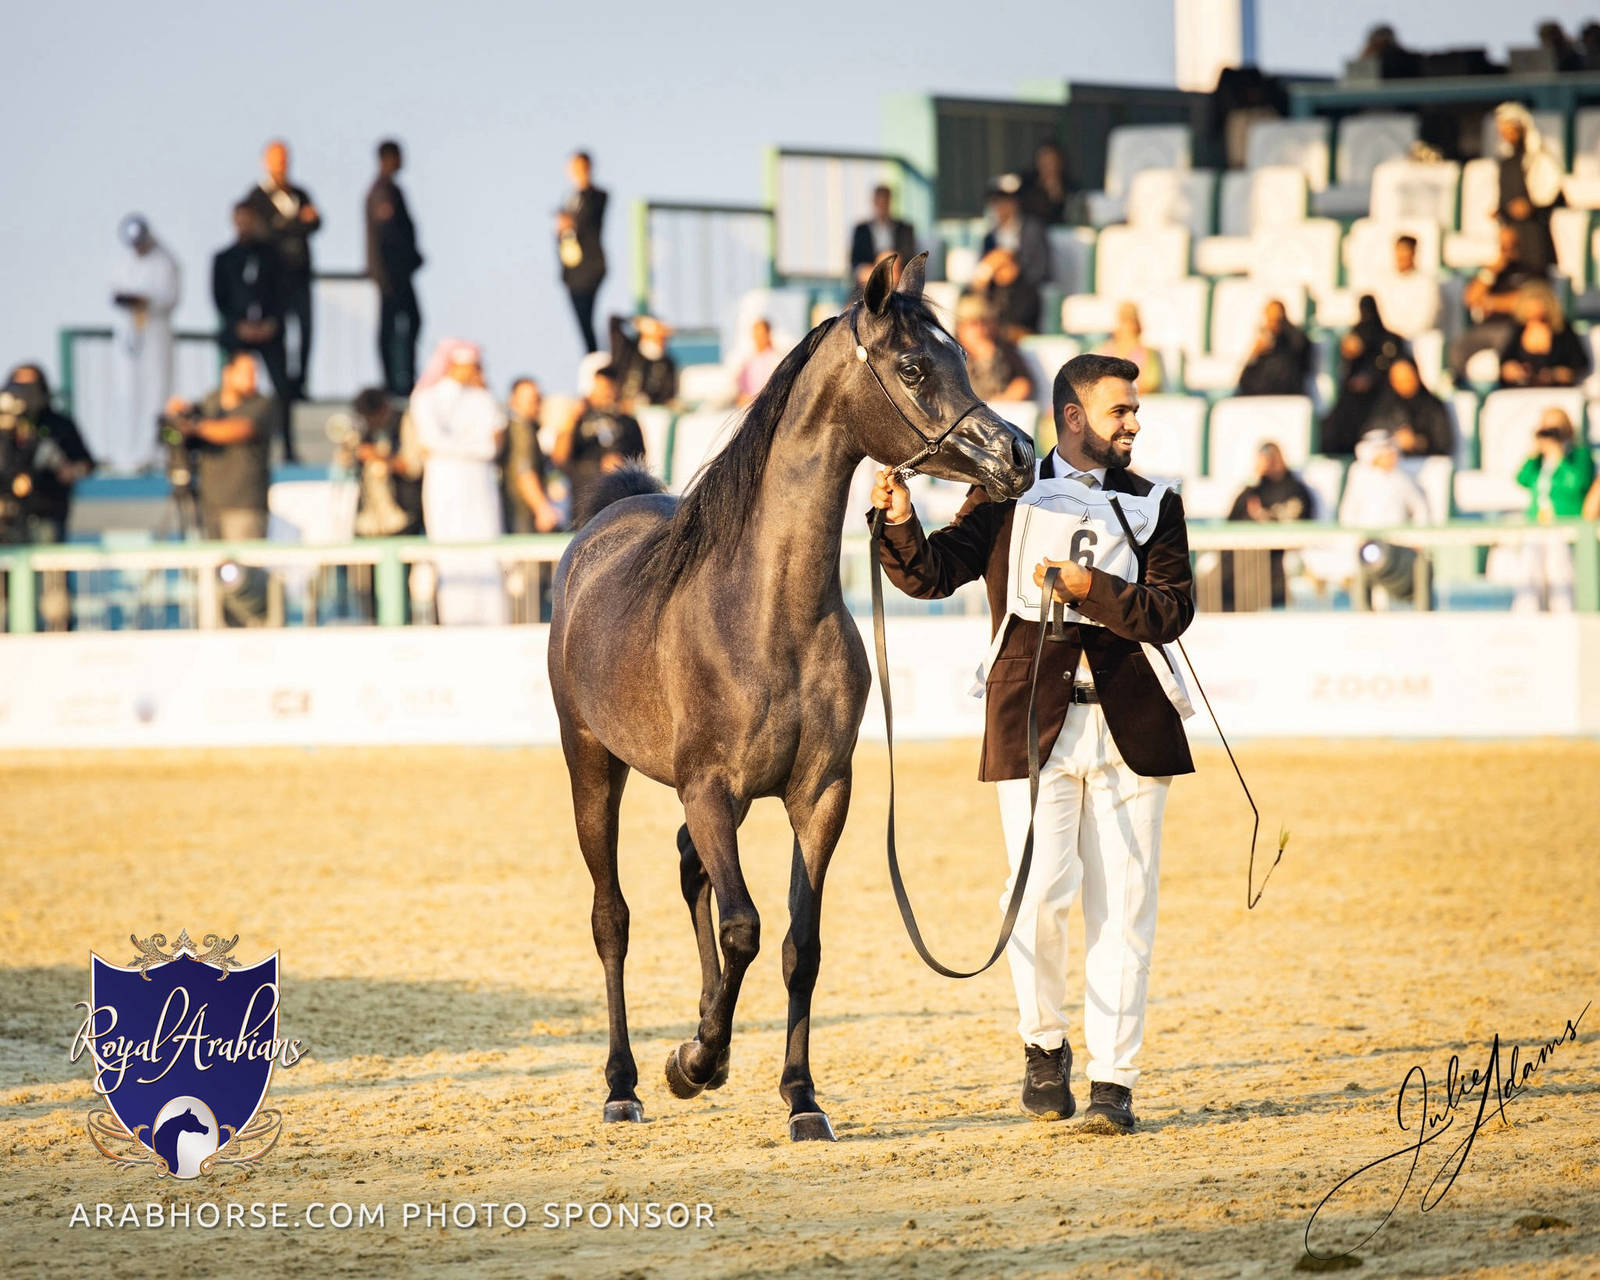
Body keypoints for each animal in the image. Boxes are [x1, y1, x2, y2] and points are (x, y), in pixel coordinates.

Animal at [548, 253, 1035, 1141]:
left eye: (961, 356)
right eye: (915, 367)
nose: (1015, 454)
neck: (768, 612)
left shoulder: (820, 795)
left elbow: (798, 947)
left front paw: (799, 1096)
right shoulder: (710, 789)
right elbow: (744, 926)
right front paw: (691, 1063)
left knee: (689, 872)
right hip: (593, 764)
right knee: (614, 918)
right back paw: (625, 1083)